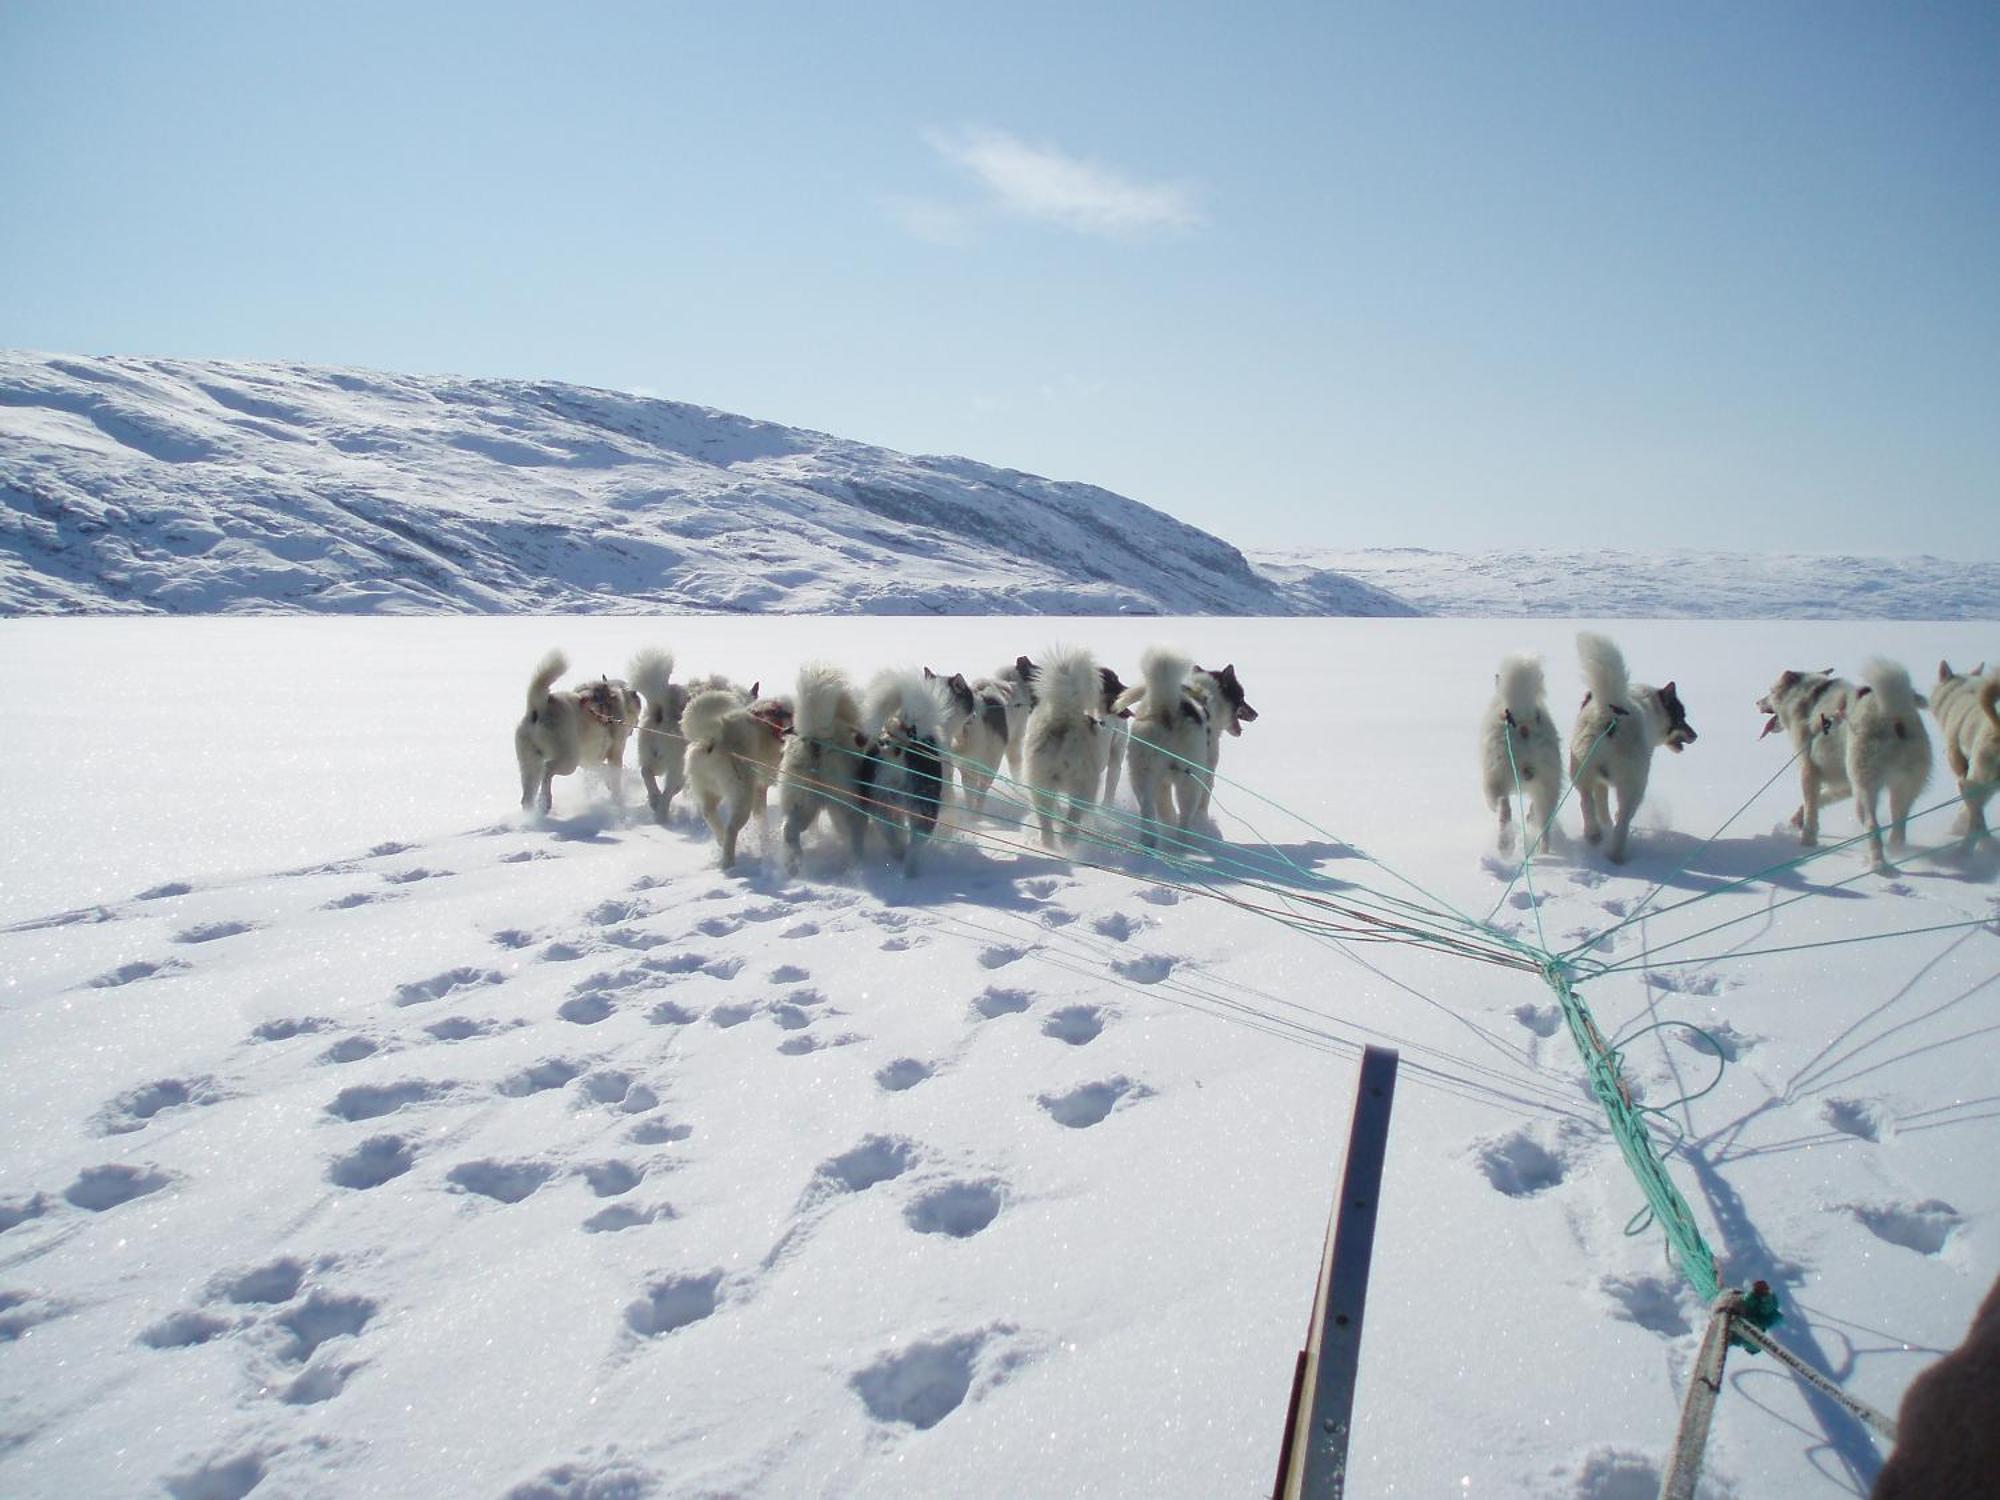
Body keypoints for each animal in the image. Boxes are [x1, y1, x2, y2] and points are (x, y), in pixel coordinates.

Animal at [516, 648, 640, 816]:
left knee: (527, 796)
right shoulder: (615, 753)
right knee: (547, 770)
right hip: (568, 760)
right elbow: (614, 777)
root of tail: (540, 707)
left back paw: (533, 814)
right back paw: (546, 801)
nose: (635, 726)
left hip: (529, 763)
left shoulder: (589, 760)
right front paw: (618, 800)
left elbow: (601, 770)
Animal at [772, 664, 868, 876]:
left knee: (789, 829)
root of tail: (817, 738)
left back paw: (793, 864)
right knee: (853, 834)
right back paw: (858, 863)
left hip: (802, 802)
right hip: (846, 803)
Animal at [1024, 648, 1120, 852]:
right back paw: (1069, 843)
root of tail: (1064, 716)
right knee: (1073, 819)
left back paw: (1050, 846)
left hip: (1039, 785)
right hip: (1084, 786)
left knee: (1046, 822)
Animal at [1488, 656, 1560, 856]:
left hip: (1499, 772)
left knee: (1504, 807)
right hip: (1549, 783)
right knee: (1544, 821)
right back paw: (1542, 850)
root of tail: (1523, 723)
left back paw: (1505, 846)